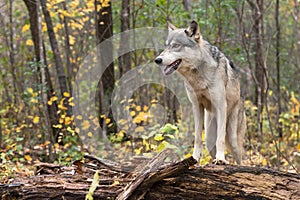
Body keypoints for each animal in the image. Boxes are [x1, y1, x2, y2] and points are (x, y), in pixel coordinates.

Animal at [155, 20, 246, 164]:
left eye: (176, 46)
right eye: (166, 47)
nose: (157, 60)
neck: (197, 75)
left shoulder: (221, 105)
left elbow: (220, 138)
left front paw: (221, 159)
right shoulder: (196, 106)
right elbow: (197, 137)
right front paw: (195, 158)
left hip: (233, 139)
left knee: (240, 159)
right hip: (209, 139)